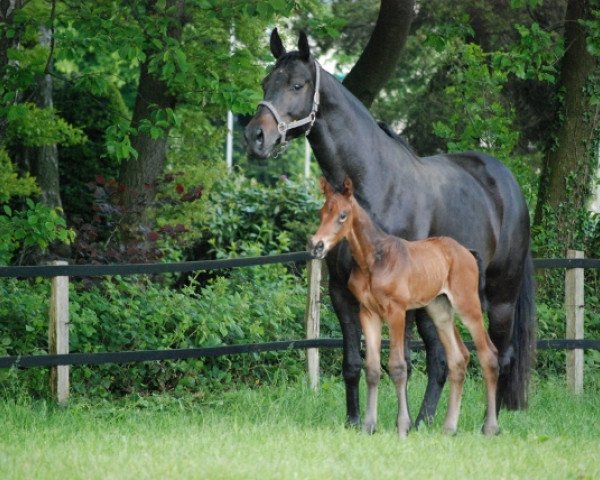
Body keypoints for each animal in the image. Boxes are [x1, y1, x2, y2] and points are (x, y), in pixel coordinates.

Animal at [312, 177, 500, 438]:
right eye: (322, 212)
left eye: (342, 214)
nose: (317, 246)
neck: (374, 260)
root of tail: (468, 252)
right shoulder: (368, 313)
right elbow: (372, 369)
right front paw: (369, 426)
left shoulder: (397, 312)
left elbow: (398, 367)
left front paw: (402, 426)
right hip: (440, 311)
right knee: (459, 358)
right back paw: (449, 428)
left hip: (467, 306)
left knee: (488, 355)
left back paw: (490, 427)